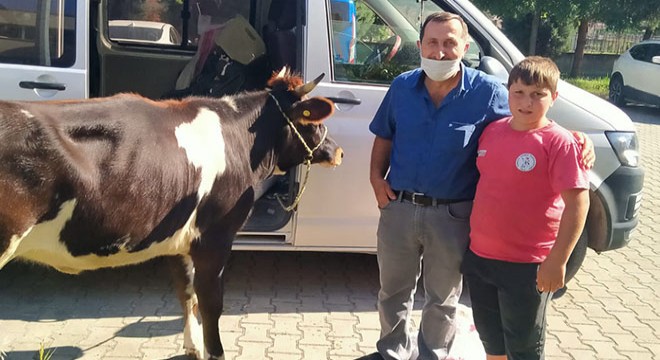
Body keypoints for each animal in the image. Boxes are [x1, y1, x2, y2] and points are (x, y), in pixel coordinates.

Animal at [0, 69, 342, 358]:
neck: (238, 139)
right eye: (314, 123)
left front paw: (193, 346)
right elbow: (211, 303)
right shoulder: (214, 239)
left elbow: (186, 292)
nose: (338, 151)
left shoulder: (179, 238)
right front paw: (213, 351)